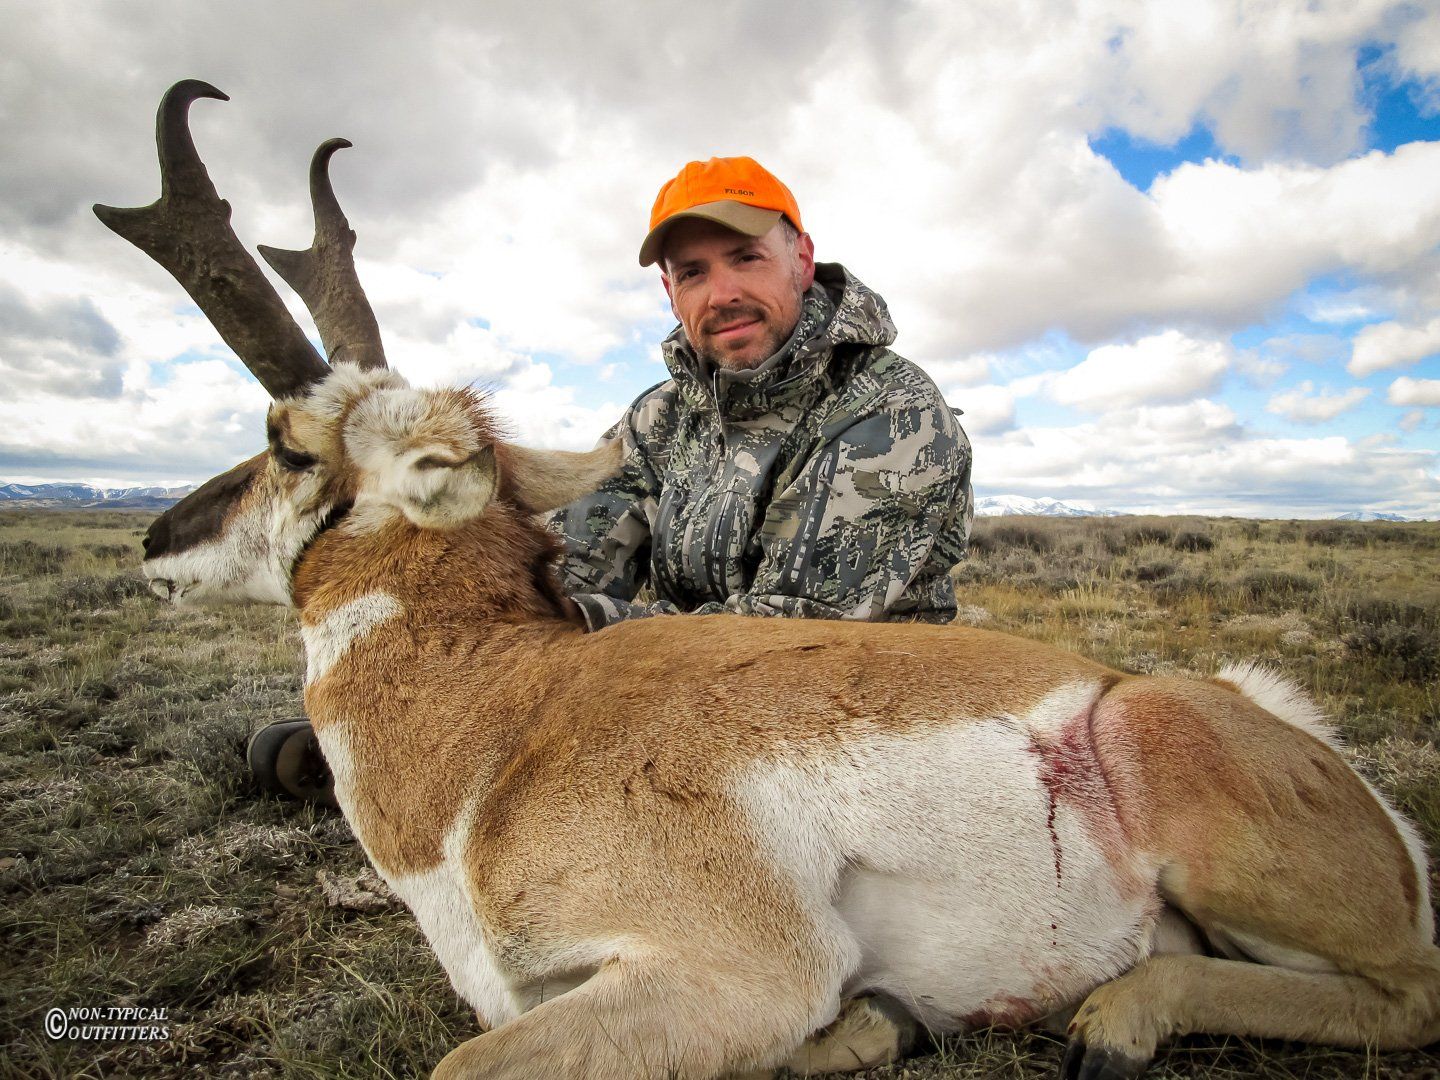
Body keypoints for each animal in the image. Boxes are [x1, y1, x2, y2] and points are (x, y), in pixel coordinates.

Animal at [102, 80, 1440, 1080]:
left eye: (282, 442)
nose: (150, 540)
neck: (505, 727)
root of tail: (1287, 730)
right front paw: (883, 1023)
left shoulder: (739, 972)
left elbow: (459, 1062)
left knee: (1412, 996)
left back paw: (1112, 1019)